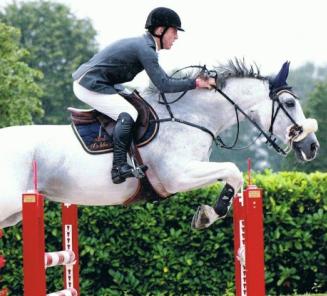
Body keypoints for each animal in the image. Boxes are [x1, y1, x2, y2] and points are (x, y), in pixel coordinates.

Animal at [0, 59, 320, 229]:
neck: (190, 115)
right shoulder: (177, 175)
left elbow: (232, 175)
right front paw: (209, 214)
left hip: (13, 214)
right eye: (289, 103)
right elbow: (233, 170)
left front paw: (208, 213)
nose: (312, 146)